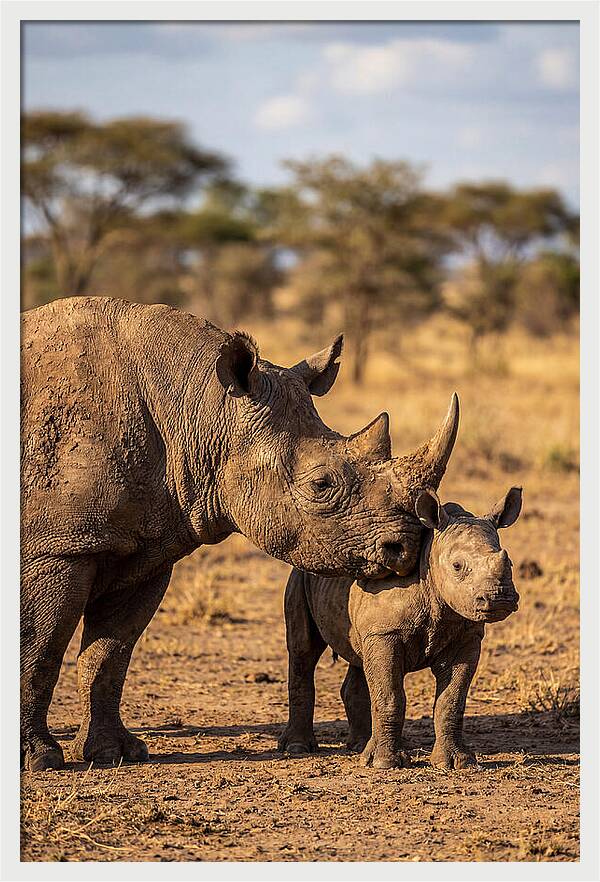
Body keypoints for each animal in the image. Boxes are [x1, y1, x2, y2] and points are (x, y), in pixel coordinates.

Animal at [20, 296, 455, 771]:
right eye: (321, 485)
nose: (406, 548)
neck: (200, 408)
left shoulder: (146, 549)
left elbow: (110, 653)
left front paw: (115, 754)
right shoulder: (58, 548)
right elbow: (38, 646)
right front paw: (39, 759)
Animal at [278, 482, 522, 770]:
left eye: (510, 562)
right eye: (457, 566)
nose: (500, 598)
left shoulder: (466, 636)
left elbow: (452, 700)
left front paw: (457, 762)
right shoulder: (386, 633)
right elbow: (390, 695)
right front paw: (385, 763)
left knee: (359, 657)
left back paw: (360, 746)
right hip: (300, 575)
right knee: (303, 651)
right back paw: (298, 747)